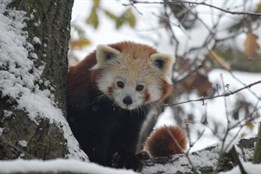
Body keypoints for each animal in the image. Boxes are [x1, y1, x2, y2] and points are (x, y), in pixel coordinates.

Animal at [67, 41, 185, 171]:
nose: (127, 100)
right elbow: (89, 133)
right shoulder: (87, 104)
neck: (118, 109)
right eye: (120, 84)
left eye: (140, 87)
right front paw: (98, 161)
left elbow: (128, 134)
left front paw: (129, 159)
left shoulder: (134, 116)